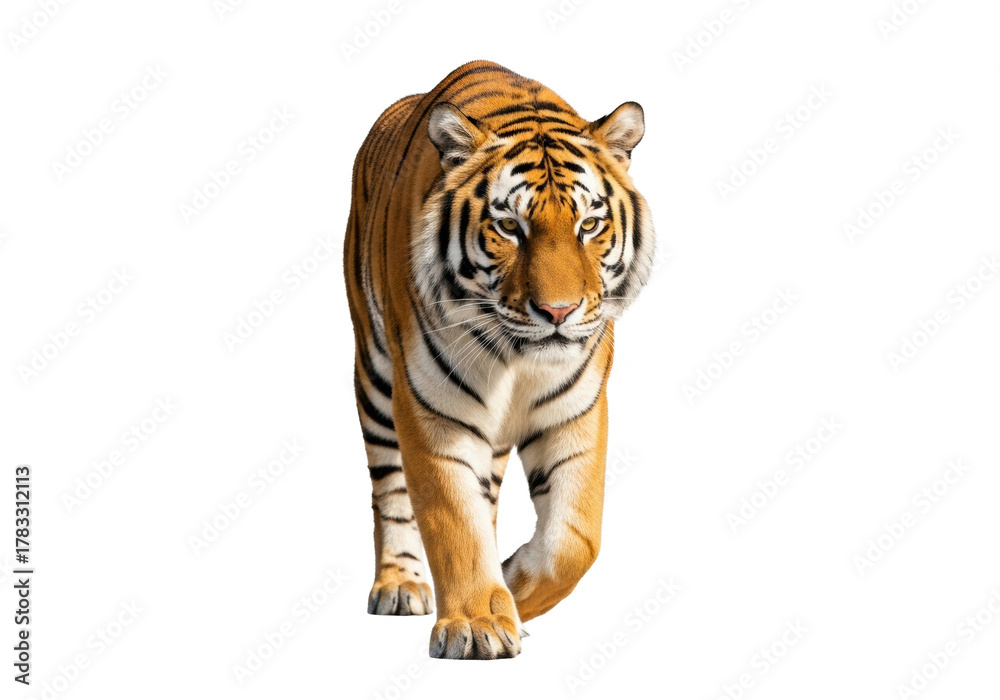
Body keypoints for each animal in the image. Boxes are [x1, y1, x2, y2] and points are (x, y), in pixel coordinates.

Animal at [343, 60, 654, 659]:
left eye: (589, 225)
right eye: (510, 226)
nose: (558, 311)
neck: (516, 359)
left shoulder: (575, 413)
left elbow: (575, 540)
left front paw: (509, 590)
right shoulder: (433, 412)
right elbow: (452, 520)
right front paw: (475, 625)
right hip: (373, 372)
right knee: (390, 488)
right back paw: (400, 585)